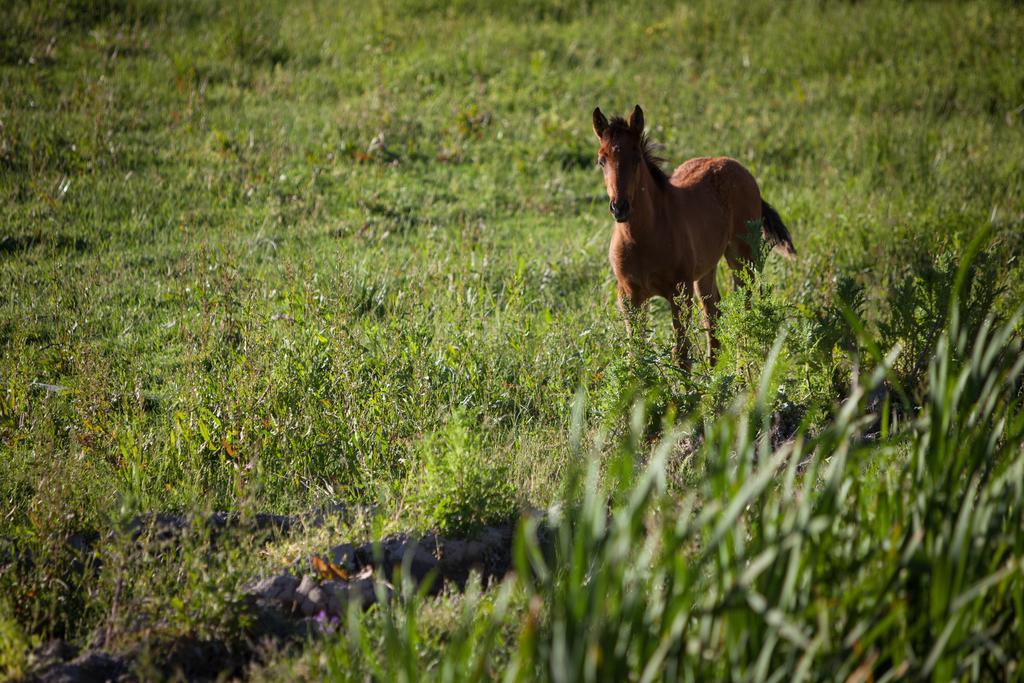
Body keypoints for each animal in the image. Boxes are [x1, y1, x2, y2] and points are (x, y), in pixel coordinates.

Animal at [589, 103, 794, 366]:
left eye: (636, 157)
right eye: (601, 160)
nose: (619, 207)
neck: (643, 238)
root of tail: (736, 165)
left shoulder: (679, 291)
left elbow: (681, 353)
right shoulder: (628, 295)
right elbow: (635, 354)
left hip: (741, 258)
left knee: (743, 307)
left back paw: (741, 366)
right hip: (706, 268)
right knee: (713, 310)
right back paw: (715, 367)